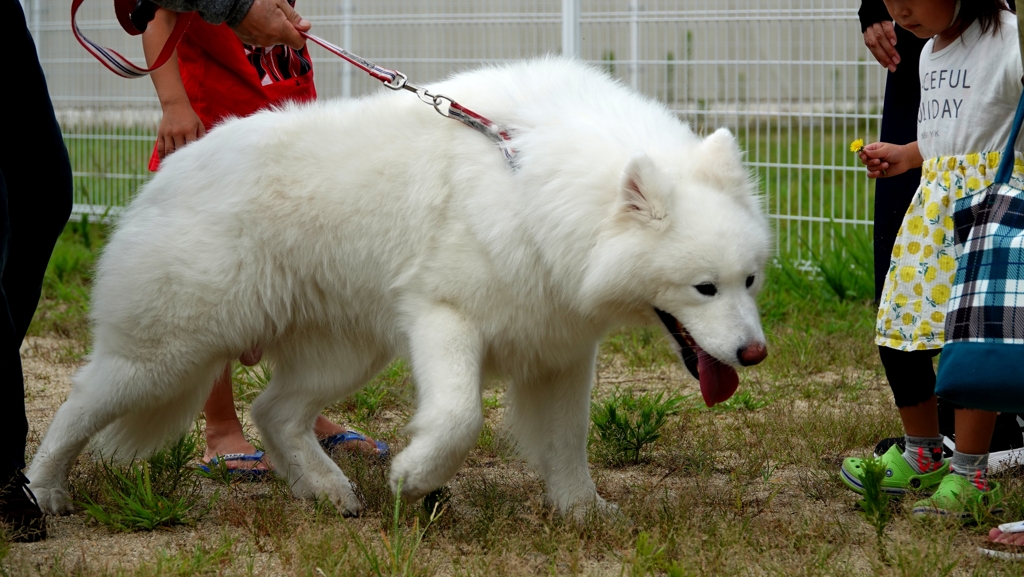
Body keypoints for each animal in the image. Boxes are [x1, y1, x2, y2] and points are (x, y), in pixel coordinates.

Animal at [25, 58, 770, 516]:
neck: (534, 181)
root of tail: (165, 171)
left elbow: (566, 443)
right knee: (77, 406)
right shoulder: (446, 318)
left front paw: (583, 512)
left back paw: (328, 491)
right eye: (704, 288)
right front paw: (417, 477)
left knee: (275, 411)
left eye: (749, 280)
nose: (754, 354)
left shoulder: (560, 351)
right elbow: (459, 418)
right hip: (166, 356)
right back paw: (41, 493)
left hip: (344, 354)